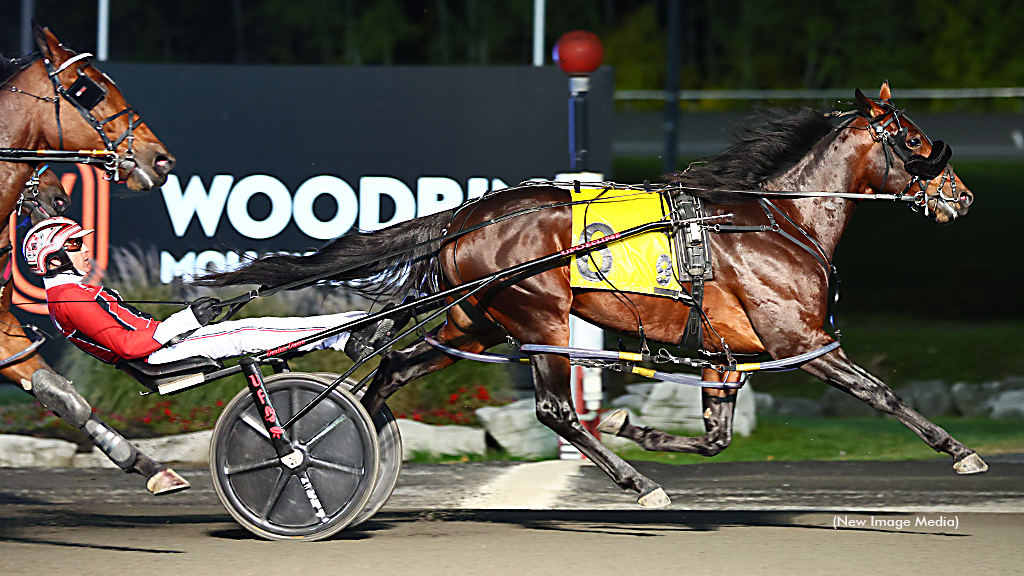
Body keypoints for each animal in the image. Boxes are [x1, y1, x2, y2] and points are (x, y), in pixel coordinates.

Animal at [197, 83, 974, 504]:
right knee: (553, 409)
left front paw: (640, 426)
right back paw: (636, 483)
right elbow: (879, 391)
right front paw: (959, 450)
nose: (960, 196)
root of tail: (464, 215)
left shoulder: (727, 355)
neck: (774, 219)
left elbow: (717, 437)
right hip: (539, 315)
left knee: (388, 369)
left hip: (474, 321)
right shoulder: (801, 340)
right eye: (912, 140)